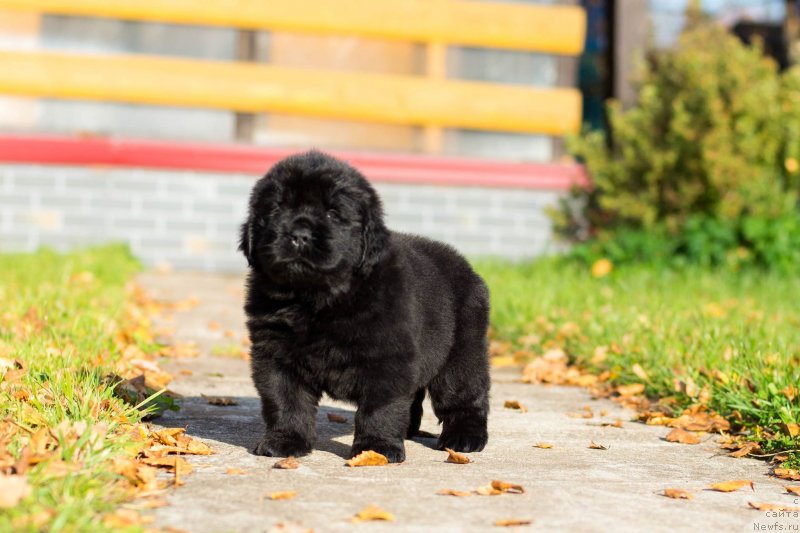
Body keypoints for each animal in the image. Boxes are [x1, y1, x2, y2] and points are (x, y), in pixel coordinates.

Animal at [239, 151, 488, 462]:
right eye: (276, 209)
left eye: (333, 213)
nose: (298, 235)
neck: (317, 300)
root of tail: (467, 266)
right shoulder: (276, 356)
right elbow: (285, 400)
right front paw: (284, 442)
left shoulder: (388, 359)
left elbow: (380, 408)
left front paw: (377, 449)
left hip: (462, 351)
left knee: (464, 394)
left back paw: (465, 438)